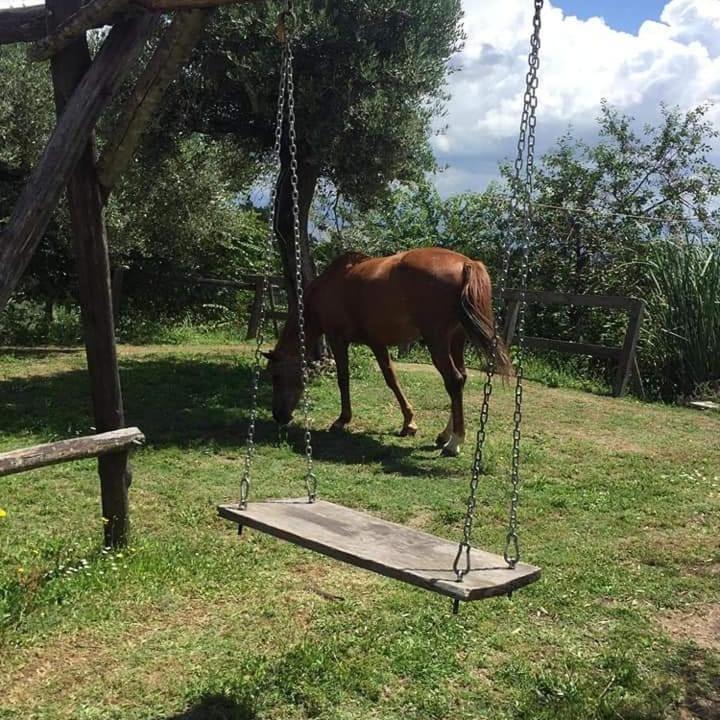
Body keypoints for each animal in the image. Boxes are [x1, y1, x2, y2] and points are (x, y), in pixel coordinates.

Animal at [264, 248, 512, 456]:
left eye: (276, 376)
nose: (278, 416)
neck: (329, 287)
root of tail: (466, 263)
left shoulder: (337, 339)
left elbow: (343, 379)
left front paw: (342, 420)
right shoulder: (377, 343)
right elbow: (391, 379)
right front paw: (408, 422)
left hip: (438, 341)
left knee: (454, 380)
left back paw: (455, 442)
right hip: (456, 340)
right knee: (462, 379)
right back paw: (444, 435)